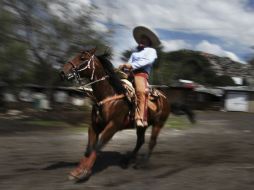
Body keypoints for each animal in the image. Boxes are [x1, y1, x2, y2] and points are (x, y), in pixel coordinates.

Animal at [60, 47, 192, 181]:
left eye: (82, 58)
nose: (62, 72)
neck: (109, 95)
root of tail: (165, 98)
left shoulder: (113, 126)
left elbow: (97, 146)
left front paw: (85, 171)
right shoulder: (94, 126)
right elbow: (89, 149)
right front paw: (77, 171)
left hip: (158, 124)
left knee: (152, 142)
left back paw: (142, 163)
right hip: (142, 125)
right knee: (140, 141)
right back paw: (127, 160)